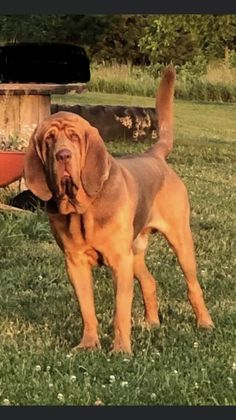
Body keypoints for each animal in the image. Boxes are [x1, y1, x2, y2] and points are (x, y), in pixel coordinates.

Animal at [24, 65, 214, 352]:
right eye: (49, 139)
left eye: (74, 137)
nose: (63, 155)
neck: (84, 210)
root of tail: (154, 155)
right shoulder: (75, 264)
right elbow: (87, 309)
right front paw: (88, 345)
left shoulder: (119, 262)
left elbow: (120, 311)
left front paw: (121, 350)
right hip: (135, 251)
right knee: (149, 282)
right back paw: (152, 323)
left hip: (180, 242)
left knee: (193, 286)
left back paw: (205, 323)